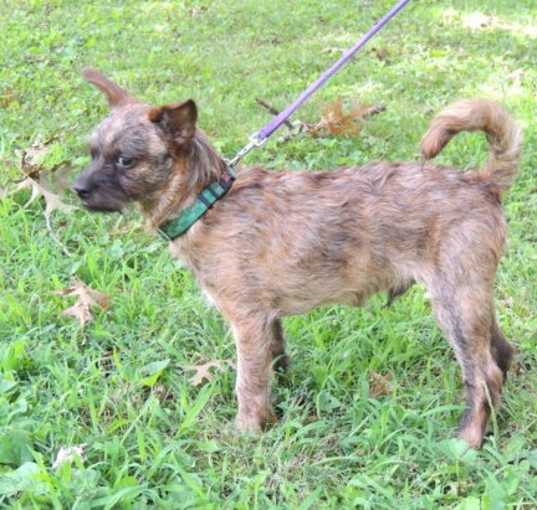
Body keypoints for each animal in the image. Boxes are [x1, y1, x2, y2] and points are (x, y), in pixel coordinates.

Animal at [73, 69, 520, 448]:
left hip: (453, 304)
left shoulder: (247, 321)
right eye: (92, 153)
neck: (208, 201)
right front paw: (280, 409)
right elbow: (275, 363)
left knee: (483, 374)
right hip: (470, 299)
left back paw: (468, 440)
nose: (78, 188)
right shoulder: (267, 321)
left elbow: (248, 383)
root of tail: (481, 183)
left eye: (125, 160)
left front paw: (246, 431)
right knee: (502, 351)